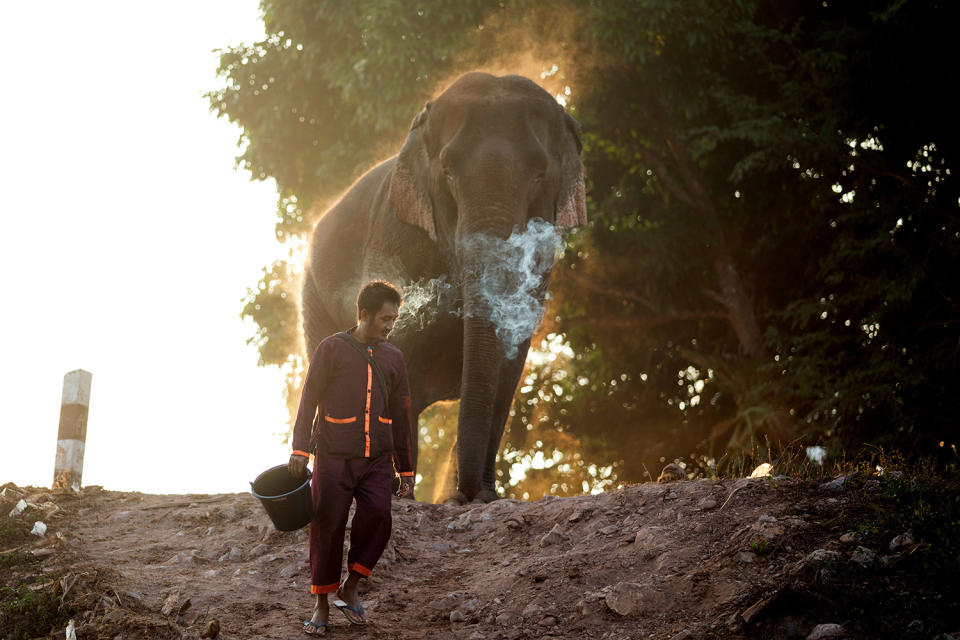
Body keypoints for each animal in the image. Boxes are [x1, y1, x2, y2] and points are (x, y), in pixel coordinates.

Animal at [302, 72, 584, 502]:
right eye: (448, 171)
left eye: (539, 175)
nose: (463, 495)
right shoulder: (397, 238)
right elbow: (403, 351)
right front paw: (401, 495)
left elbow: (510, 358)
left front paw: (485, 497)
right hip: (311, 294)